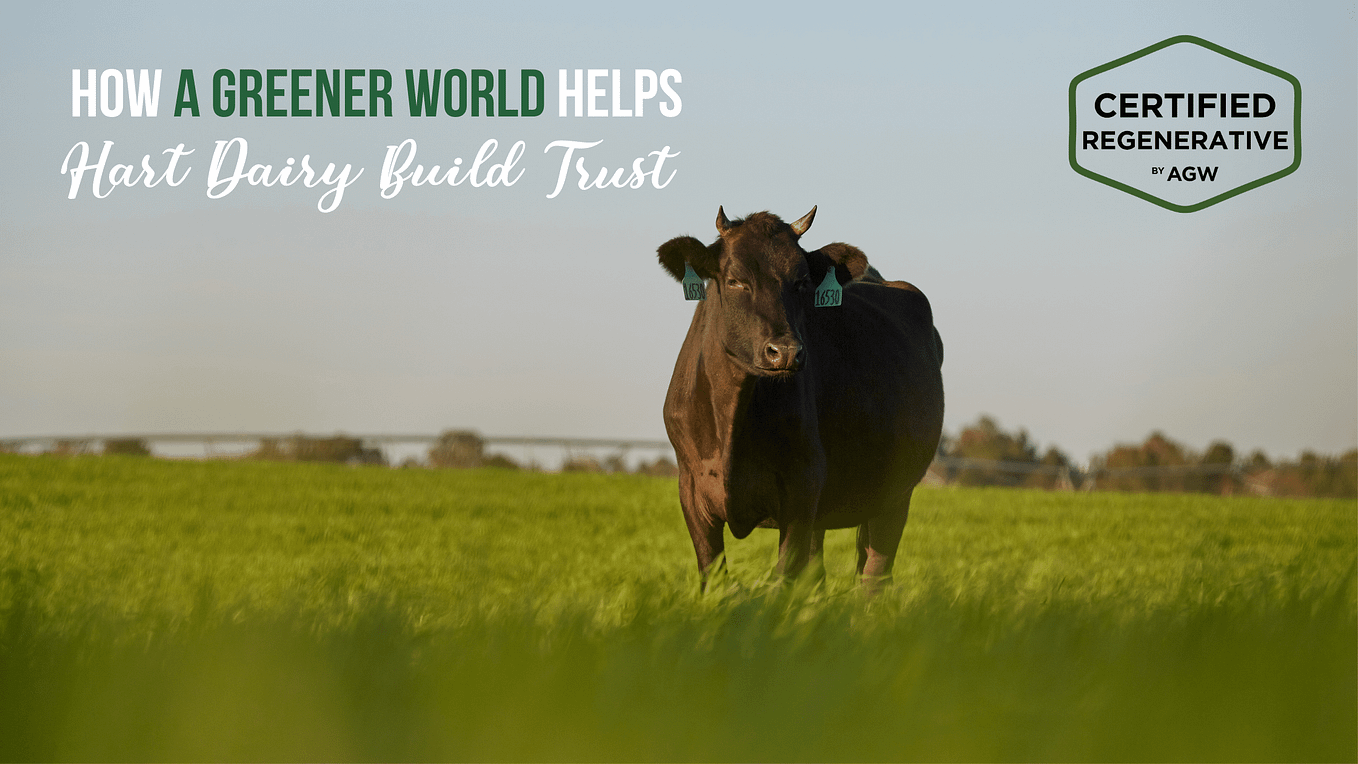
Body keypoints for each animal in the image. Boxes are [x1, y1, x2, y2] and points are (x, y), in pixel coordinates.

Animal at [657, 206, 944, 590]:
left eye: (802, 282)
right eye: (735, 280)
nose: (787, 352)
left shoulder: (802, 488)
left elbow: (784, 580)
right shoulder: (691, 489)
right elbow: (715, 579)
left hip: (896, 493)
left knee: (874, 576)